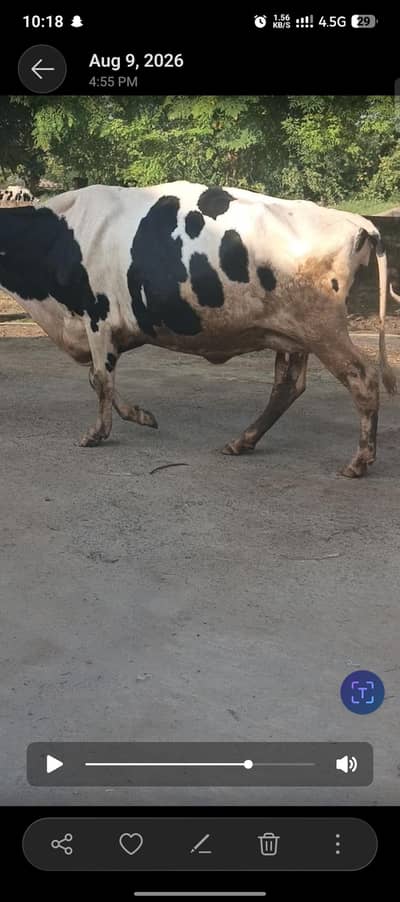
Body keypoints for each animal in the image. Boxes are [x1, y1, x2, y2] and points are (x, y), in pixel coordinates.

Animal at [0, 181, 396, 477]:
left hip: (322, 328)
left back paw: (359, 461)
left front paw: (97, 433)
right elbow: (100, 379)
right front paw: (141, 416)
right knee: (287, 386)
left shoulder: (97, 313)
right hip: (292, 333)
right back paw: (243, 441)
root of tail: (358, 223)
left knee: (362, 377)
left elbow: (100, 380)